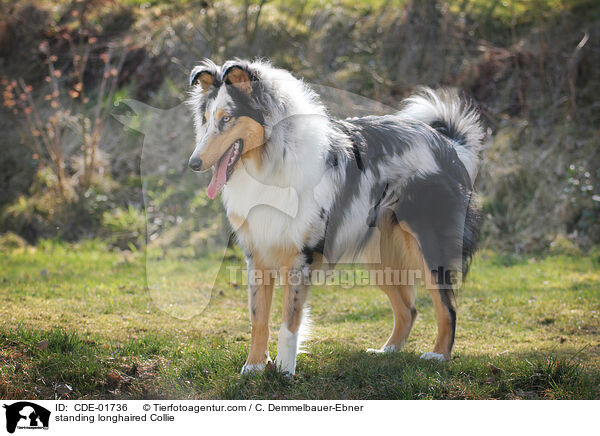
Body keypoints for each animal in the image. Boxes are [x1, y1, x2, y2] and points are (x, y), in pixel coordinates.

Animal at [188, 58, 482, 374]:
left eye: (227, 119)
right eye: (206, 118)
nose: (193, 163)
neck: (270, 159)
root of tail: (448, 143)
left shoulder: (299, 255)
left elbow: (289, 321)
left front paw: (284, 371)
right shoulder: (258, 254)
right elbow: (258, 318)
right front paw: (254, 367)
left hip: (428, 243)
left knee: (447, 306)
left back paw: (438, 355)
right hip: (380, 257)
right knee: (409, 309)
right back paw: (387, 351)